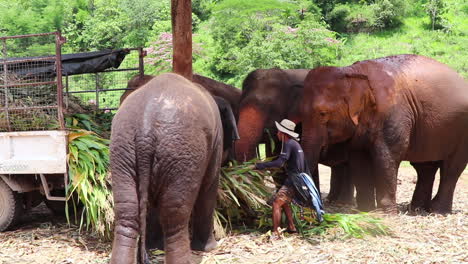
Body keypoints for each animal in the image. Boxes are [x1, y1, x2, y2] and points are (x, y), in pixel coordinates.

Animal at [110, 73, 226, 264]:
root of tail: (145, 128)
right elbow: (209, 185)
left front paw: (155, 246)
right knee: (174, 215)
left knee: (127, 211)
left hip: (122, 147)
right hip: (181, 151)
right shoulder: (216, 141)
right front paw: (209, 249)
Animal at [300, 54, 468, 213]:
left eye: (323, 113)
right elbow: (359, 159)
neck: (352, 72)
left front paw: (385, 213)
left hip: (462, 131)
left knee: (451, 168)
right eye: (299, 114)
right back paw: (417, 209)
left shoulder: (393, 114)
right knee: (426, 167)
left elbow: (387, 156)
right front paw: (365, 211)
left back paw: (437, 211)